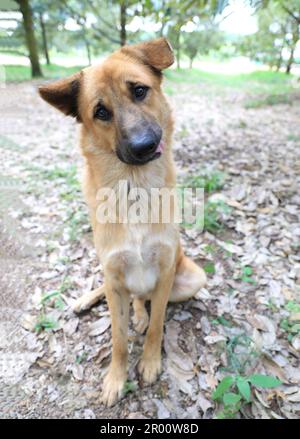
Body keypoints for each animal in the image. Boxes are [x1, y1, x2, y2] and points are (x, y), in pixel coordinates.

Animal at [38, 38, 205, 410]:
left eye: (140, 91)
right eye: (101, 112)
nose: (143, 147)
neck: (134, 189)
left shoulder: (165, 270)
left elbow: (157, 325)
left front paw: (150, 360)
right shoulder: (114, 275)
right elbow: (117, 339)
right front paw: (116, 379)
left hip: (192, 277)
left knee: (143, 300)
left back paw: (140, 315)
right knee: (118, 292)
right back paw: (87, 299)